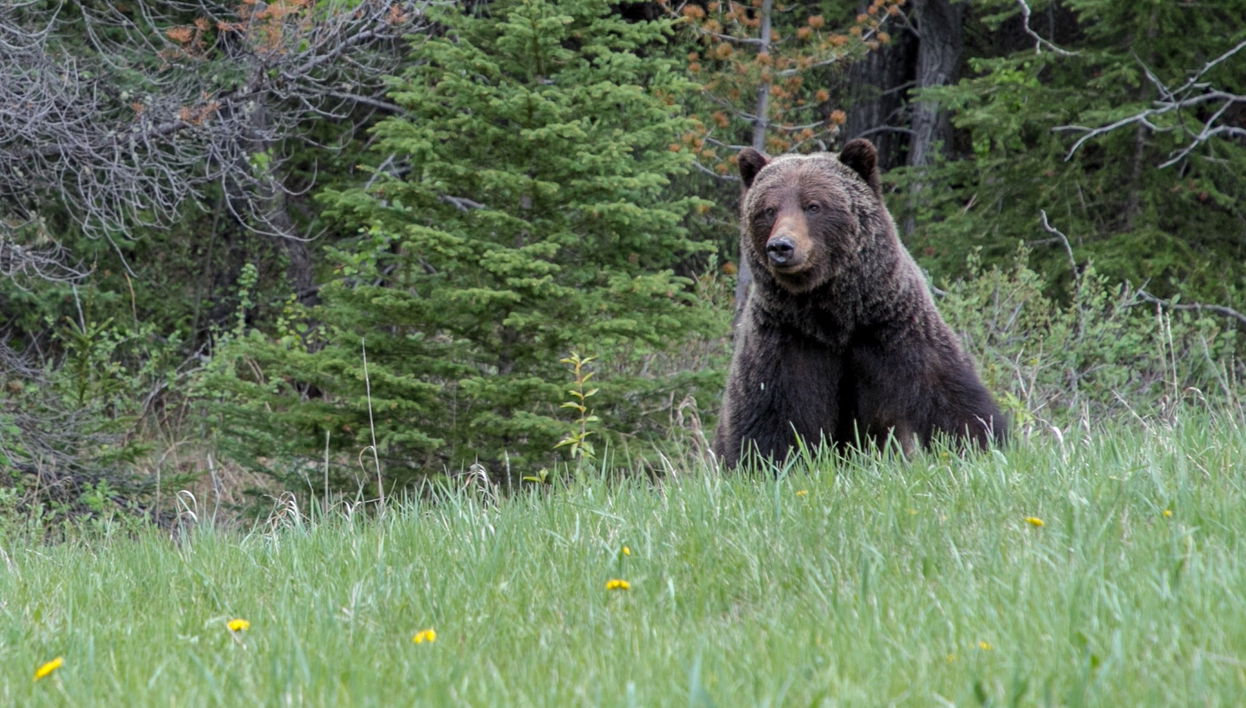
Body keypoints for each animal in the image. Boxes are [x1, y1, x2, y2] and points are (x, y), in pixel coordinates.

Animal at [712, 139, 1006, 467]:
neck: (831, 314)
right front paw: (769, 462)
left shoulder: (891, 325)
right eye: (768, 209)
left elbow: (944, 389)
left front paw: (981, 440)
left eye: (813, 205)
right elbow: (769, 414)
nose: (781, 247)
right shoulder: (786, 338)